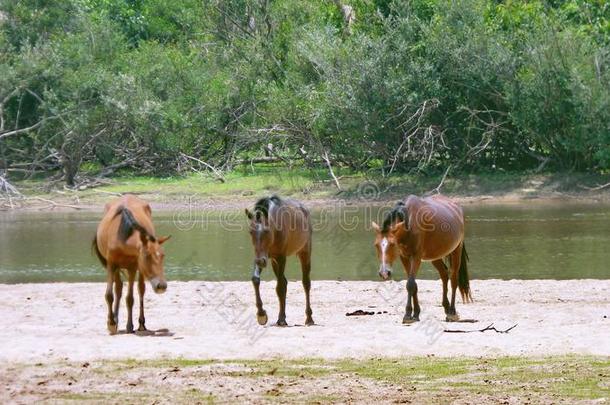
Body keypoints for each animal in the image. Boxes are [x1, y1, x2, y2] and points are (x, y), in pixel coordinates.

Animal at [91, 194, 170, 332]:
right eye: (147, 256)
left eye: (163, 255)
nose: (161, 286)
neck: (122, 237)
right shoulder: (111, 265)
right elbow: (109, 295)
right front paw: (111, 323)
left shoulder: (132, 267)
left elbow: (130, 298)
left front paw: (129, 325)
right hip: (117, 268)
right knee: (118, 288)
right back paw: (116, 319)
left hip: (139, 270)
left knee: (141, 290)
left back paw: (141, 323)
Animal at [245, 194, 314, 326]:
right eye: (250, 231)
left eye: (266, 231)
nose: (260, 262)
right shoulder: (264, 257)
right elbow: (256, 279)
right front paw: (261, 314)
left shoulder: (281, 257)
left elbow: (280, 287)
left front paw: (281, 318)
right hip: (273, 261)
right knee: (285, 282)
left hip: (305, 253)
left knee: (306, 283)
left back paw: (309, 318)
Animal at [370, 194, 470, 324]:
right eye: (376, 245)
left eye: (392, 244)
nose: (384, 273)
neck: (409, 223)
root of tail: (457, 207)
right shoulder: (404, 257)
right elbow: (413, 285)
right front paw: (416, 313)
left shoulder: (416, 257)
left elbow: (410, 284)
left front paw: (408, 315)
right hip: (435, 256)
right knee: (444, 275)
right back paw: (446, 307)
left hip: (456, 250)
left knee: (453, 278)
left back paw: (452, 312)